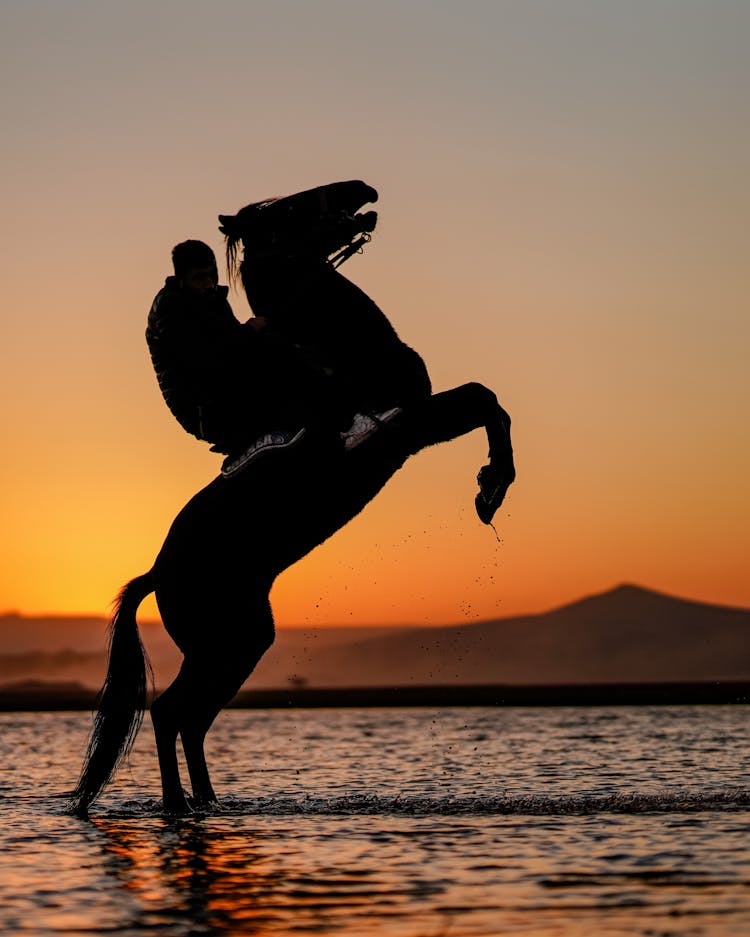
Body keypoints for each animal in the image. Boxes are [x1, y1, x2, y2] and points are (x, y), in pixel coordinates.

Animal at [70, 185, 516, 812]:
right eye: (286, 209)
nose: (363, 191)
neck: (346, 345)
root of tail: (158, 574)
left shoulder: (417, 424)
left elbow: (487, 399)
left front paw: (489, 486)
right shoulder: (410, 424)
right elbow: (483, 399)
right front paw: (490, 490)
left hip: (239, 644)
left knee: (191, 719)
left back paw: (208, 804)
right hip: (229, 642)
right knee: (170, 712)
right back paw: (182, 805)